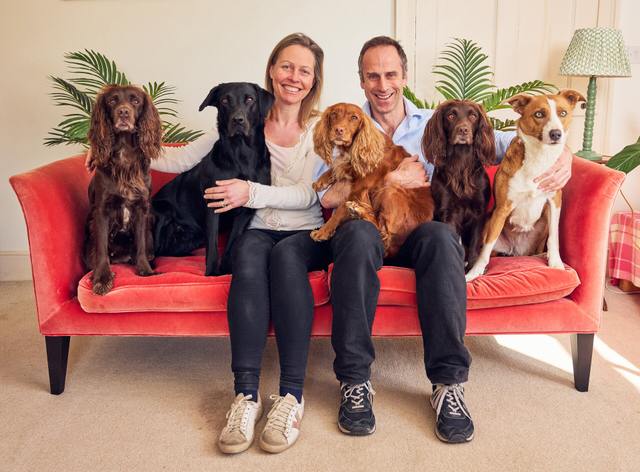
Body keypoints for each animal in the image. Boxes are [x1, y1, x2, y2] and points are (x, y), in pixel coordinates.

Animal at [464, 89, 584, 280]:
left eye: (563, 113)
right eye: (539, 114)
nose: (556, 134)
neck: (539, 157)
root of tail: (515, 251)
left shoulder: (554, 202)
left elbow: (554, 238)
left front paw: (556, 262)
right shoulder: (502, 209)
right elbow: (485, 251)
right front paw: (474, 273)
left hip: (543, 223)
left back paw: (544, 254)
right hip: (489, 222)